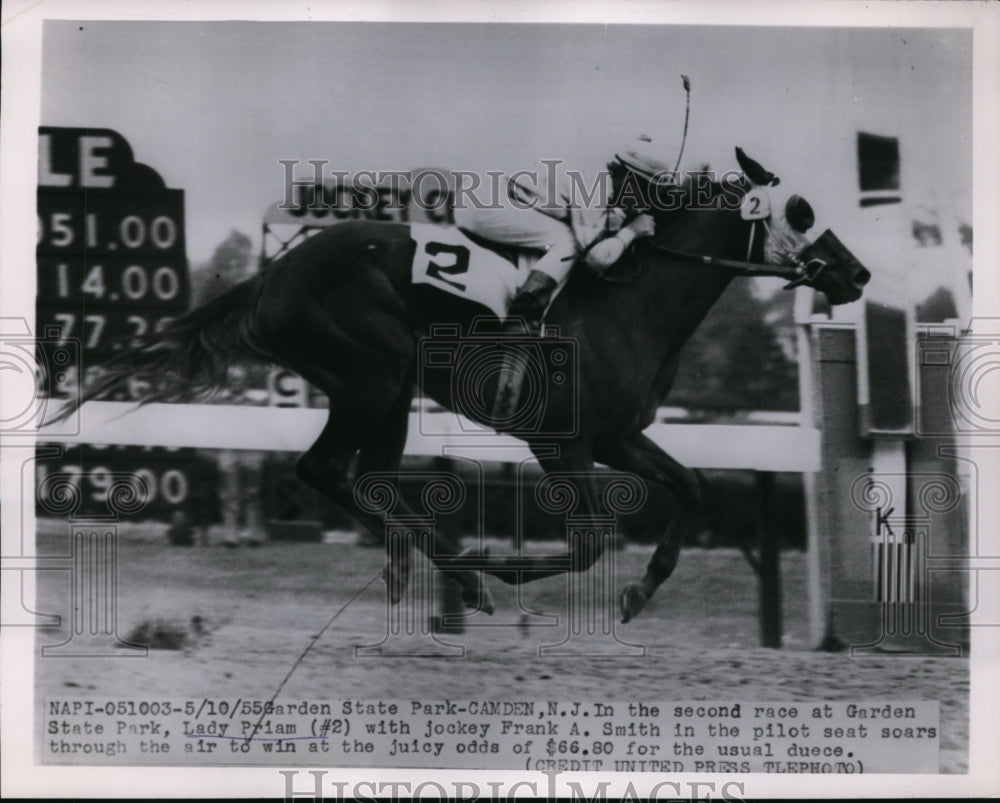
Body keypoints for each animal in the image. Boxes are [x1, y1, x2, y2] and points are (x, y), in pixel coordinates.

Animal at [52, 149, 868, 620]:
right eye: (801, 211)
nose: (856, 273)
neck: (630, 295)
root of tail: (274, 273)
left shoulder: (618, 434)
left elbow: (691, 488)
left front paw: (640, 591)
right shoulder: (561, 440)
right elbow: (591, 538)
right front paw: (501, 568)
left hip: (383, 391)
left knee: (361, 477)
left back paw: (433, 571)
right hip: (371, 374)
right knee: (322, 469)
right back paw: (459, 575)